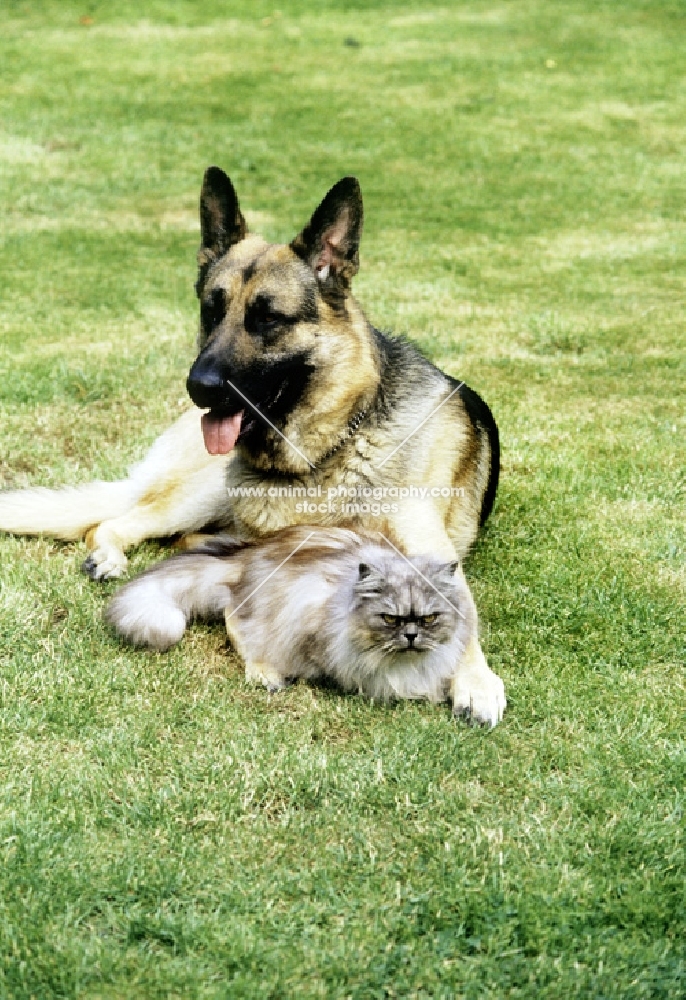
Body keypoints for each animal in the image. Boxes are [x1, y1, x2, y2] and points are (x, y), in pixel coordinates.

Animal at [106, 532, 478, 704]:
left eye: (429, 619)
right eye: (390, 619)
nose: (411, 636)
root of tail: (247, 555)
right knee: (234, 619)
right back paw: (265, 674)